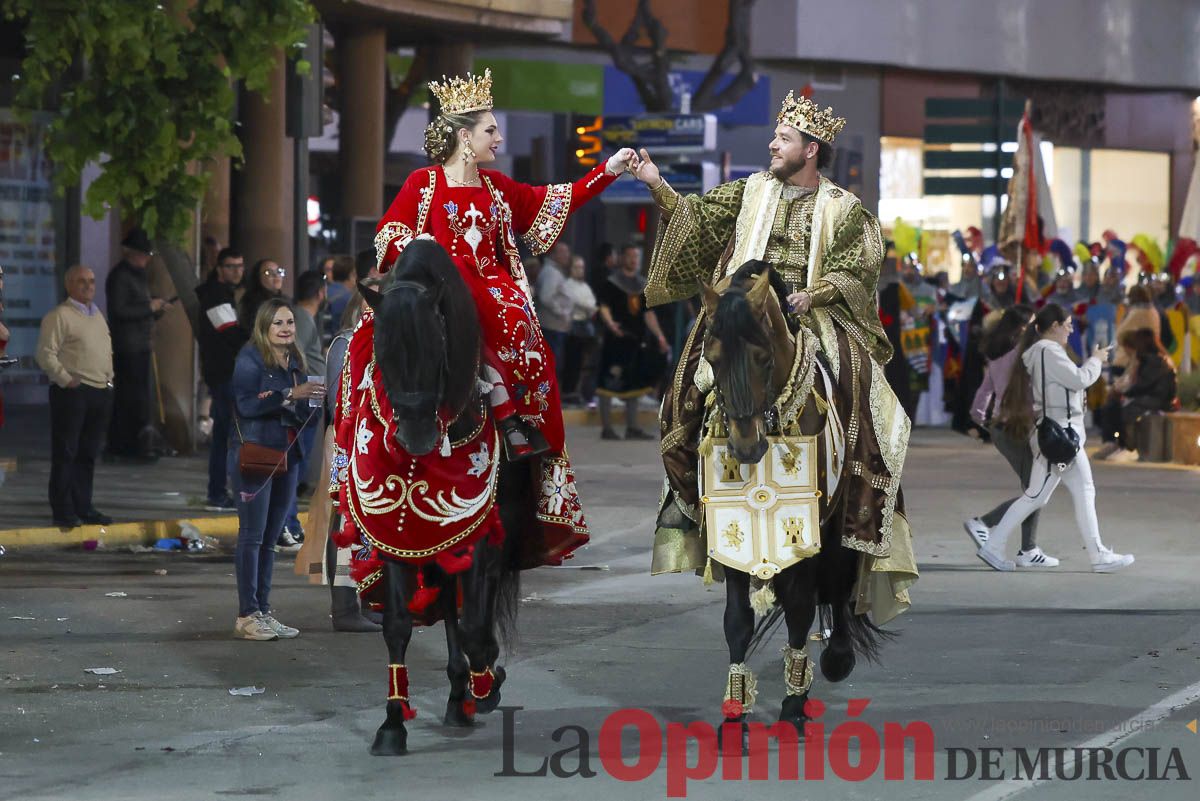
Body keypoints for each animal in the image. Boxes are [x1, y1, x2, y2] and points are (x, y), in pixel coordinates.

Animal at [350, 241, 530, 753]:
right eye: (382, 351)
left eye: (438, 346)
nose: (415, 438)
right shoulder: (398, 533)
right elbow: (397, 624)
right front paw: (392, 724)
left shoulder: (483, 530)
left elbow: (474, 623)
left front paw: (488, 679)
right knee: (450, 602)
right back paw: (456, 696)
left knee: (473, 603)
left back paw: (475, 687)